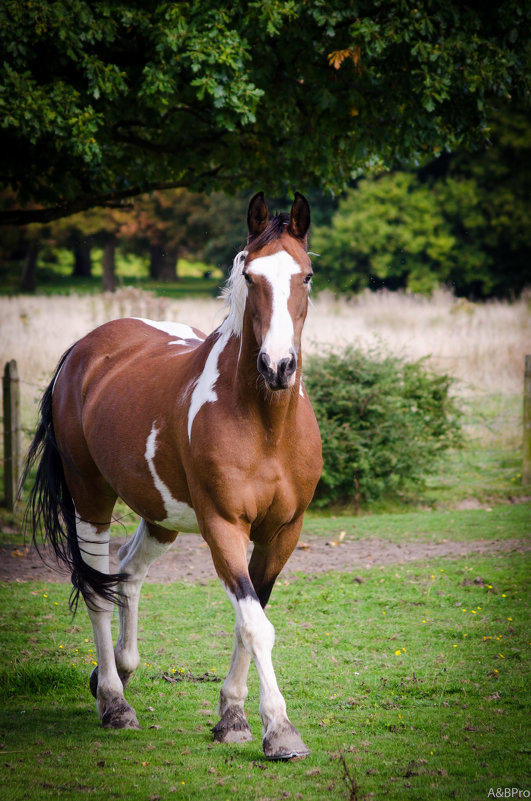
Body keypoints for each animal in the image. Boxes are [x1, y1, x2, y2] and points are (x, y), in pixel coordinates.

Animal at [23, 191, 324, 760]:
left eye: (307, 276)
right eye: (250, 275)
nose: (278, 366)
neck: (265, 425)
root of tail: (83, 350)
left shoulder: (282, 531)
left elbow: (249, 617)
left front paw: (232, 717)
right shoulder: (223, 526)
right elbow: (255, 624)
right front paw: (279, 729)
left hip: (160, 515)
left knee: (127, 571)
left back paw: (116, 671)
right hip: (91, 499)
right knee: (97, 589)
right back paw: (114, 703)